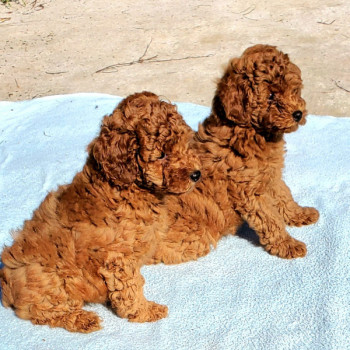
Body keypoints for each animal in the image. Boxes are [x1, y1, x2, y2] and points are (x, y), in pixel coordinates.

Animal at [0, 91, 201, 332]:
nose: (197, 174)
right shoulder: (118, 258)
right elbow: (131, 289)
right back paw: (82, 319)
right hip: (50, 278)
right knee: (41, 312)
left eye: (184, 144)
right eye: (161, 155)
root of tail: (6, 283)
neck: (130, 189)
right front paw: (146, 311)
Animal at [153, 43, 320, 264]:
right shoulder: (248, 191)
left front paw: (300, 214)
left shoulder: (270, 176)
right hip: (194, 232)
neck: (253, 132)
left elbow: (285, 195)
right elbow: (270, 218)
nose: (298, 114)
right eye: (270, 96)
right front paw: (287, 244)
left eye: (294, 90)